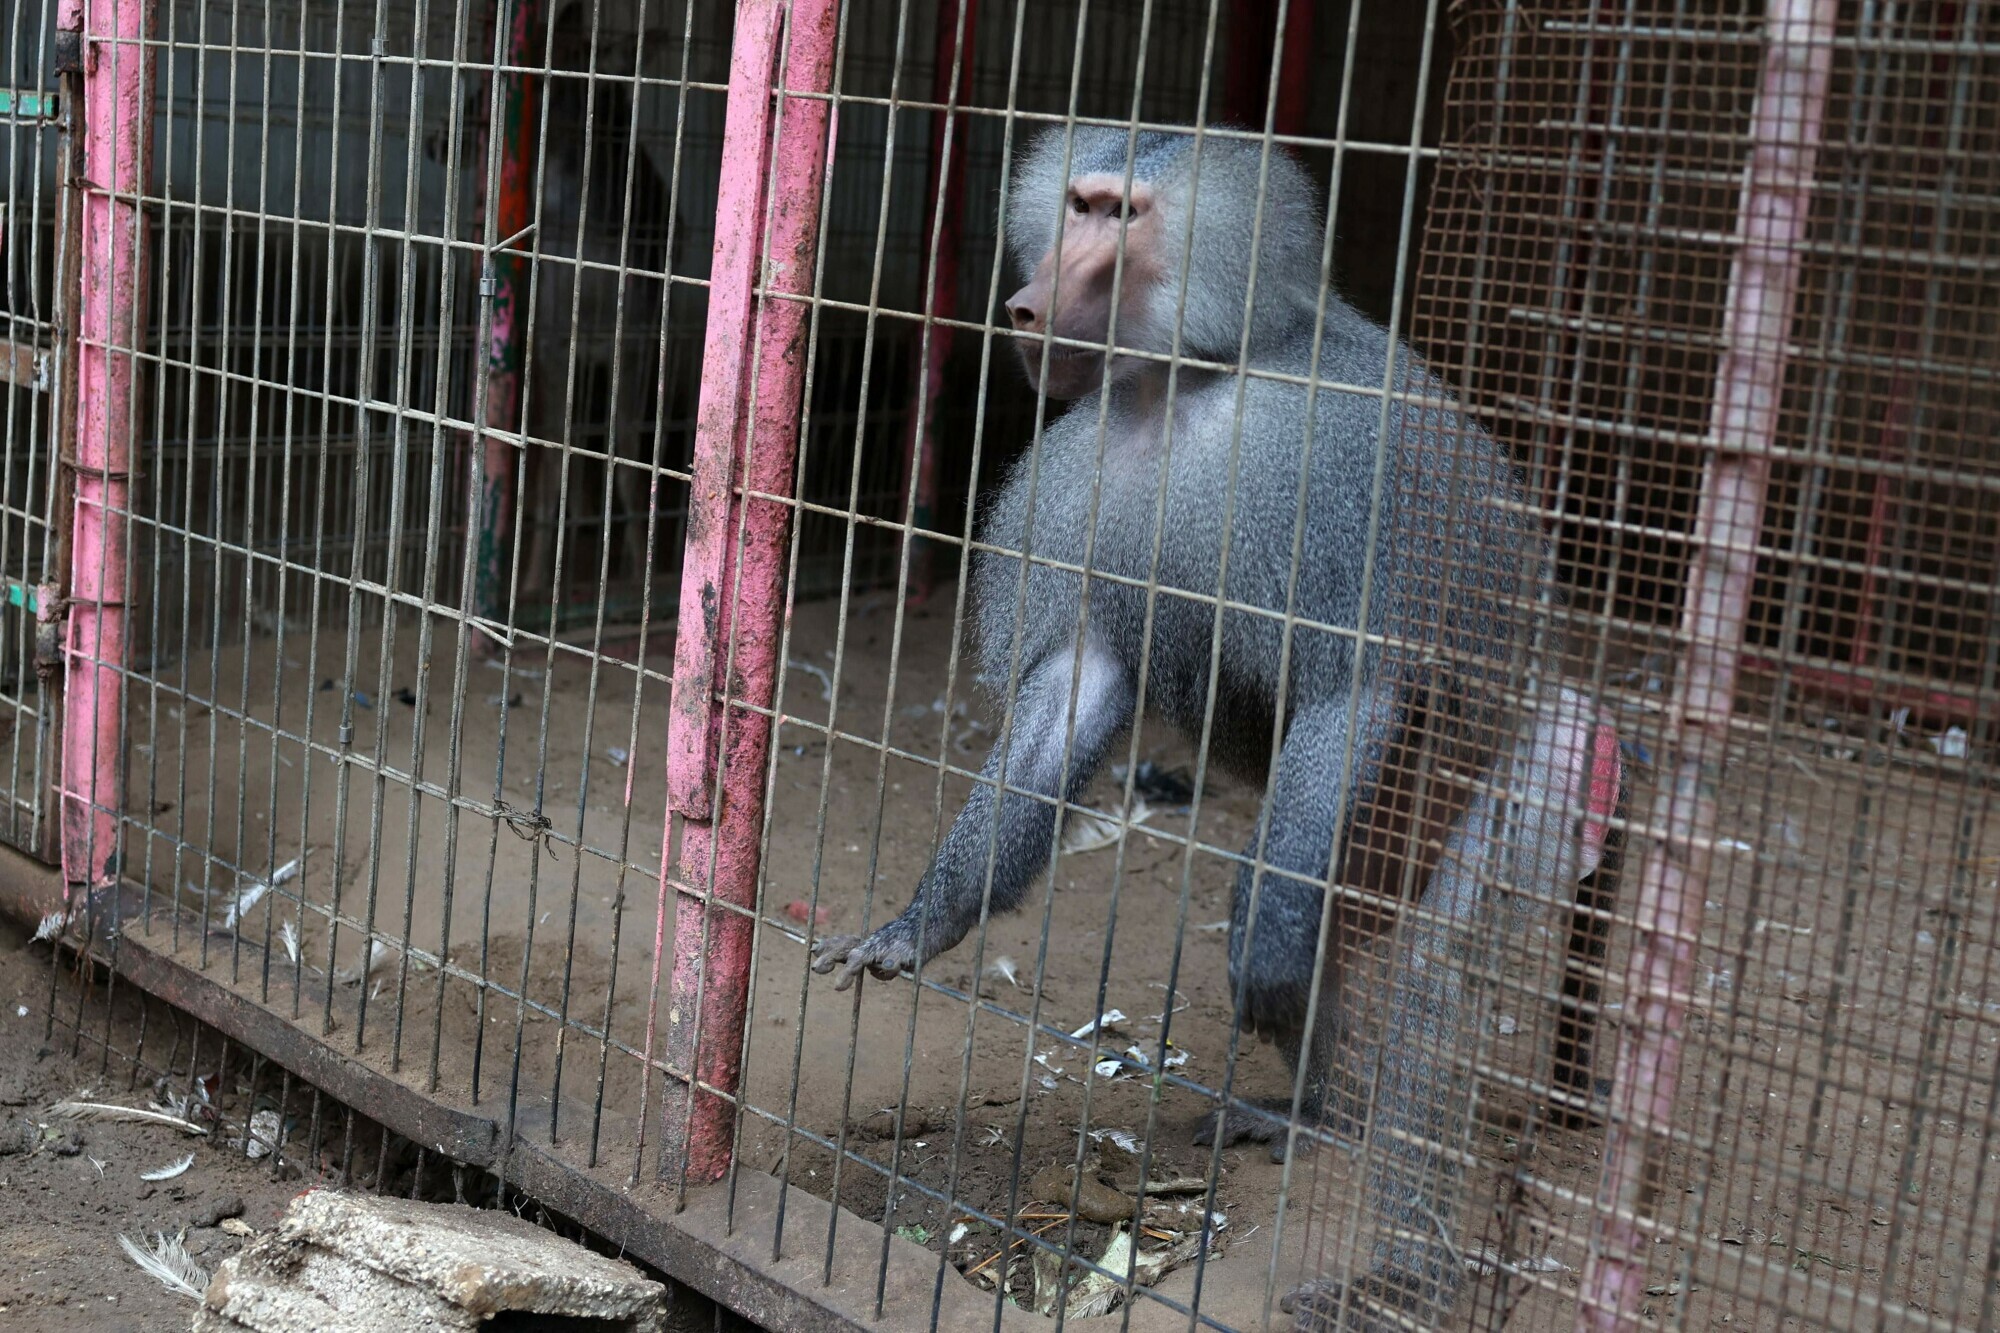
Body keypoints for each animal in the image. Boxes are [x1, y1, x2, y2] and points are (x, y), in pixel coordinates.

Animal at [809, 126, 1614, 1328]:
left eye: (1122, 214)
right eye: (1077, 204)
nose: (1023, 305)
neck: (1177, 388)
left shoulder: (1325, 465)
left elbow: (1352, 691)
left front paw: (1264, 961)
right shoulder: (1081, 487)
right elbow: (1071, 694)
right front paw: (916, 925)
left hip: (1530, 776)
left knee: (1418, 967)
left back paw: (1403, 1275)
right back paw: (1312, 1113)